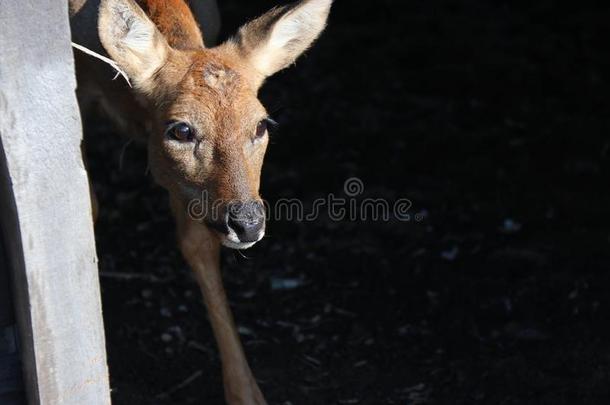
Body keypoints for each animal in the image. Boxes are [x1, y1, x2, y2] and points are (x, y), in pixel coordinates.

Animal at [68, 0, 330, 400]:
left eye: (262, 124)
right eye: (181, 130)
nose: (247, 223)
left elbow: (197, 245)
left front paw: (245, 392)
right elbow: (89, 206)